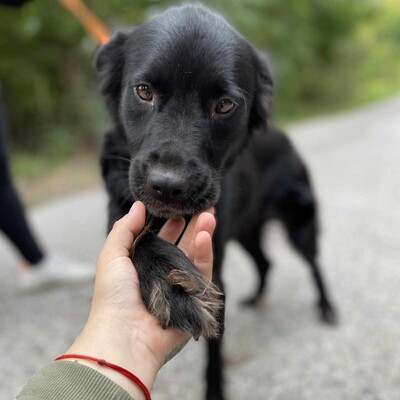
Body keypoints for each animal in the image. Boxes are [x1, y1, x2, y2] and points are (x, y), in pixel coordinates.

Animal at [95, 4, 336, 398]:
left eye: (224, 105)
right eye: (143, 91)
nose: (168, 186)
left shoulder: (215, 268)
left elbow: (214, 347)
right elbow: (137, 237)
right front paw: (169, 278)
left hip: (300, 224)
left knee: (314, 265)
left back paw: (328, 308)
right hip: (247, 230)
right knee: (266, 262)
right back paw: (256, 298)